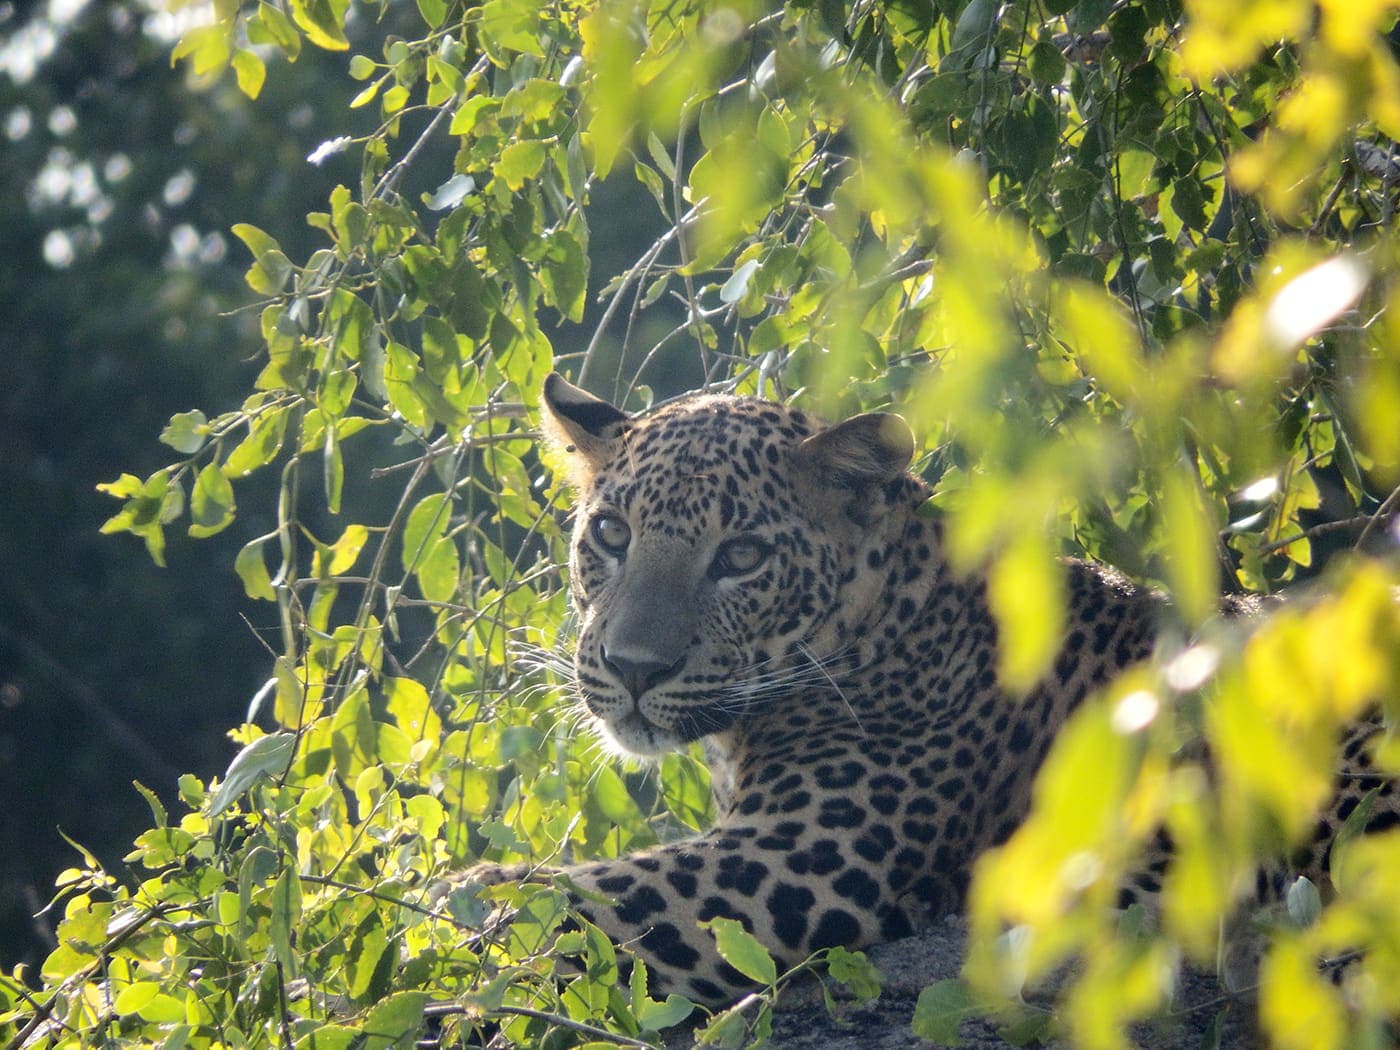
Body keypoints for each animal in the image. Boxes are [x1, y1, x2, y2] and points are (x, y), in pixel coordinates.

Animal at [460, 371, 1397, 1009]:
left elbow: (563, 896)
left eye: (742, 557)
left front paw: (457, 906)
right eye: (612, 534)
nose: (633, 668)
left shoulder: (797, 859)